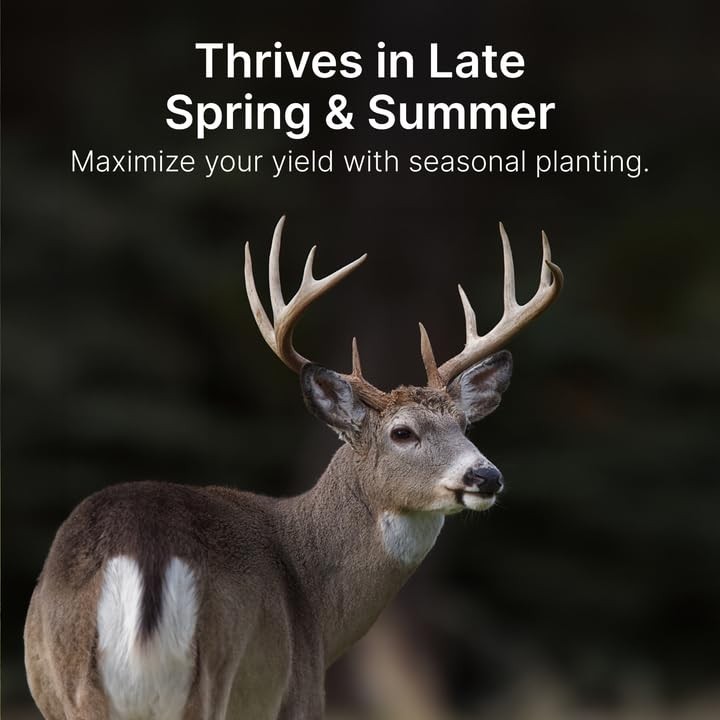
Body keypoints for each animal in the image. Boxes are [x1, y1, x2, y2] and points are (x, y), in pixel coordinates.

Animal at [24, 216, 562, 720]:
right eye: (402, 432)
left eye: (465, 424)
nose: (485, 477)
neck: (317, 607)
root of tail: (144, 551)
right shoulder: (298, 691)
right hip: (214, 672)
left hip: (71, 687)